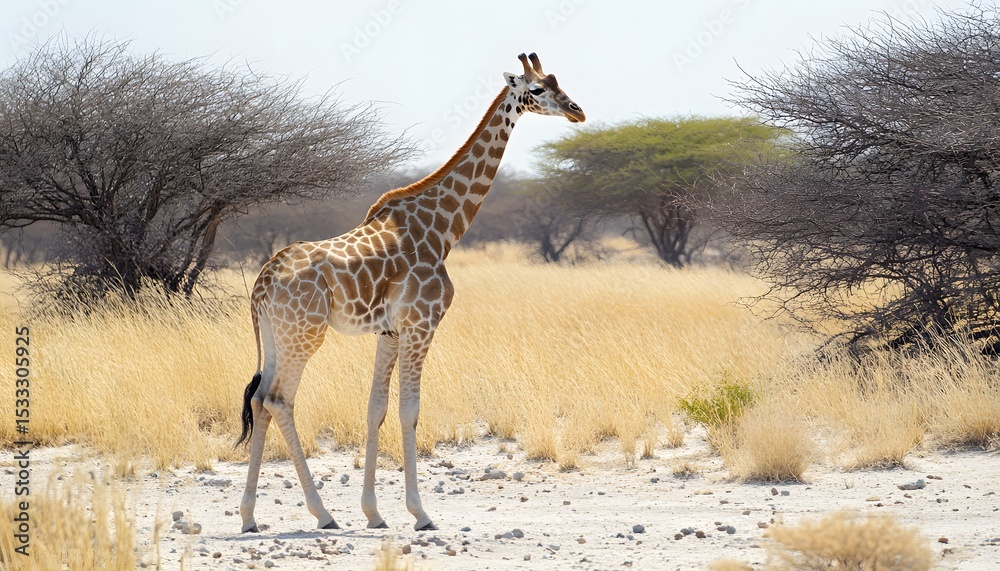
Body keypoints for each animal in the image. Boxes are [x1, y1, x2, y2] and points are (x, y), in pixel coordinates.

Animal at [236, 52, 585, 533]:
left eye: (557, 81)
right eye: (536, 90)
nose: (577, 110)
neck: (444, 229)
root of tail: (263, 284)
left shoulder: (390, 331)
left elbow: (375, 408)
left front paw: (374, 512)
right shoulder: (422, 323)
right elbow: (410, 411)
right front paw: (420, 513)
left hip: (275, 336)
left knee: (259, 399)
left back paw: (250, 516)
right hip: (305, 335)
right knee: (279, 400)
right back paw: (322, 513)